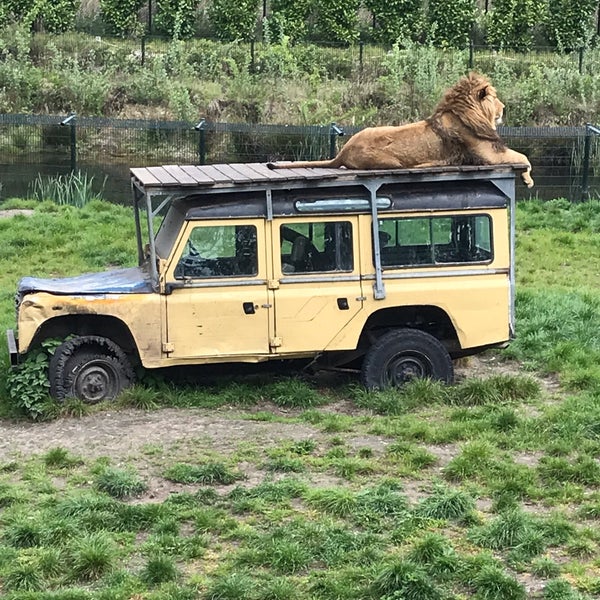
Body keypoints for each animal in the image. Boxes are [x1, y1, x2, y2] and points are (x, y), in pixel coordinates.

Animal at [270, 73, 532, 189]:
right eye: (495, 99)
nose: (504, 108)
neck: (465, 112)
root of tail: (342, 152)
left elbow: (522, 157)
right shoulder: (488, 154)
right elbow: (523, 157)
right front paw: (528, 180)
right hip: (390, 162)